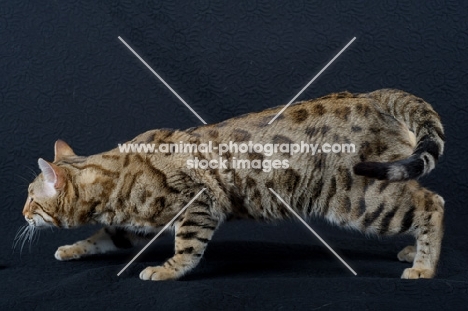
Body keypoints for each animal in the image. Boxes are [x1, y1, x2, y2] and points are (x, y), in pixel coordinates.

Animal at [21, 89, 446, 282]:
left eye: (30, 200)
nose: (22, 214)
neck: (113, 179)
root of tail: (374, 97)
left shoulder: (198, 204)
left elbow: (187, 247)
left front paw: (167, 270)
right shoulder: (133, 226)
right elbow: (99, 237)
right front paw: (71, 249)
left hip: (359, 197)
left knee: (432, 204)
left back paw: (424, 266)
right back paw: (414, 253)